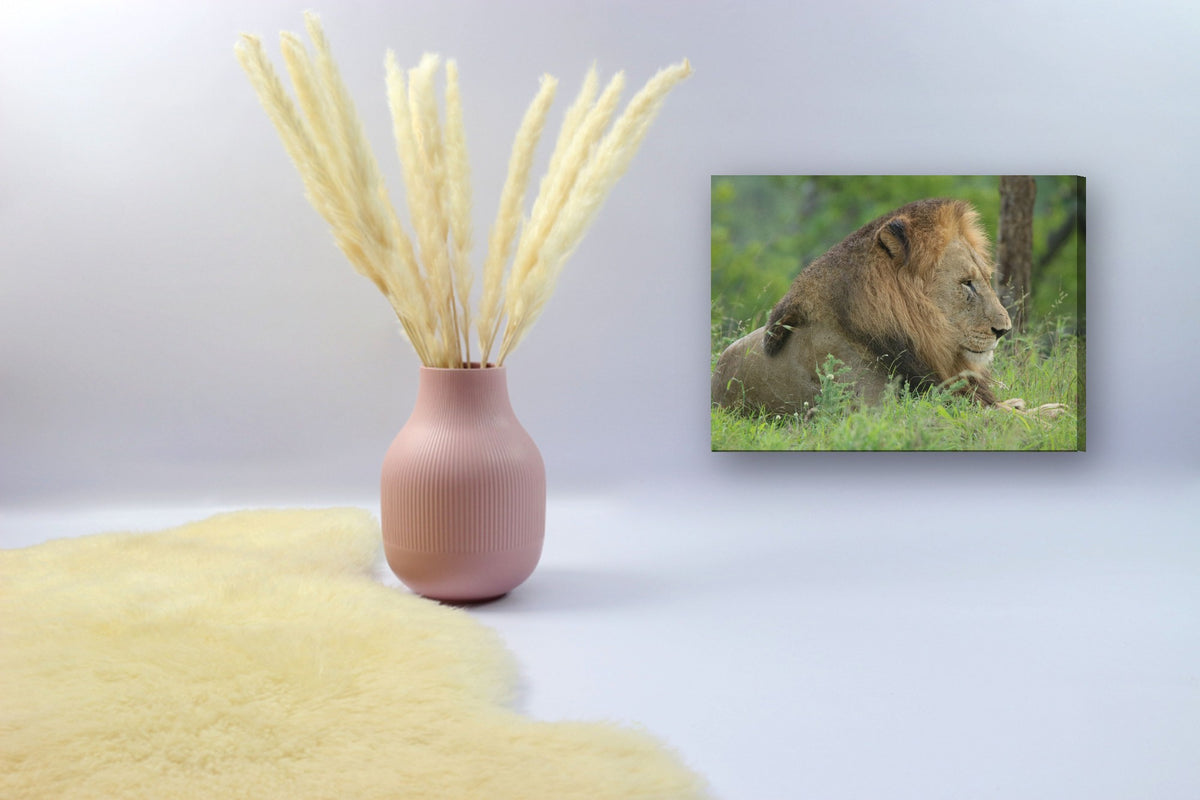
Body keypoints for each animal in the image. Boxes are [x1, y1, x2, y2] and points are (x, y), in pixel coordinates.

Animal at [711, 198, 1065, 418]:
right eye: (966, 283)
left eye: (986, 279)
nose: (1004, 330)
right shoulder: (880, 413)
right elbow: (991, 419)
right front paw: (1049, 417)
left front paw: (1043, 409)